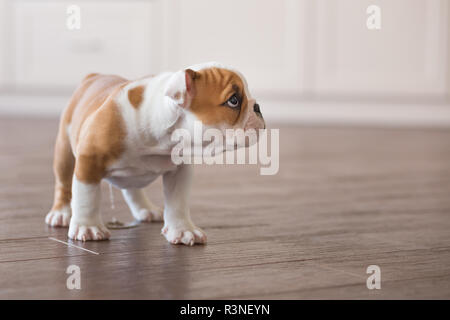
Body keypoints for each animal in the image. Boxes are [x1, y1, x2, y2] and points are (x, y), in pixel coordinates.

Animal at [44, 62, 266, 245]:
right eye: (234, 100)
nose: (257, 106)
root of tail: (93, 76)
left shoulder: (180, 171)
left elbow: (177, 202)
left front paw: (183, 230)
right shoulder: (89, 161)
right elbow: (87, 197)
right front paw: (87, 227)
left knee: (131, 188)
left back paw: (145, 209)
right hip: (64, 151)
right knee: (64, 183)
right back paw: (61, 213)